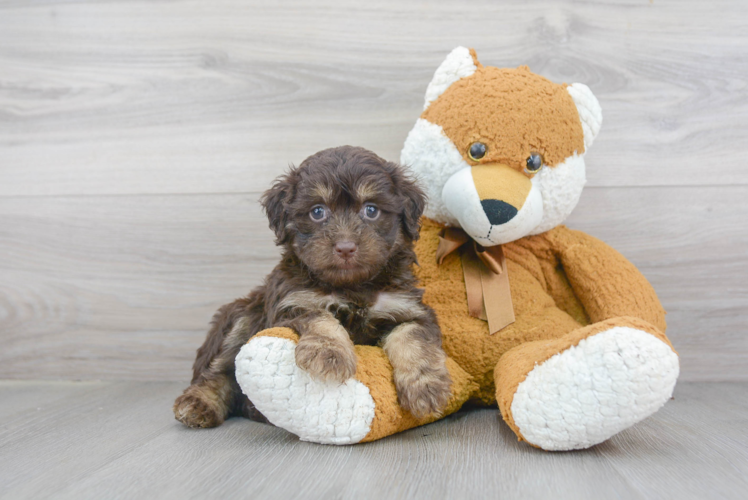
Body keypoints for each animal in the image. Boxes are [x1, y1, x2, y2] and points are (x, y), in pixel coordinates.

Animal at [173, 146, 452, 428]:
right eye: (317, 212)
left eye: (371, 210)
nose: (345, 247)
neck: (352, 286)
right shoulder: (294, 302)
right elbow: (320, 317)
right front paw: (329, 354)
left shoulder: (407, 308)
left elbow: (411, 337)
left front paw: (426, 386)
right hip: (242, 315)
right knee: (220, 370)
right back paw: (200, 403)